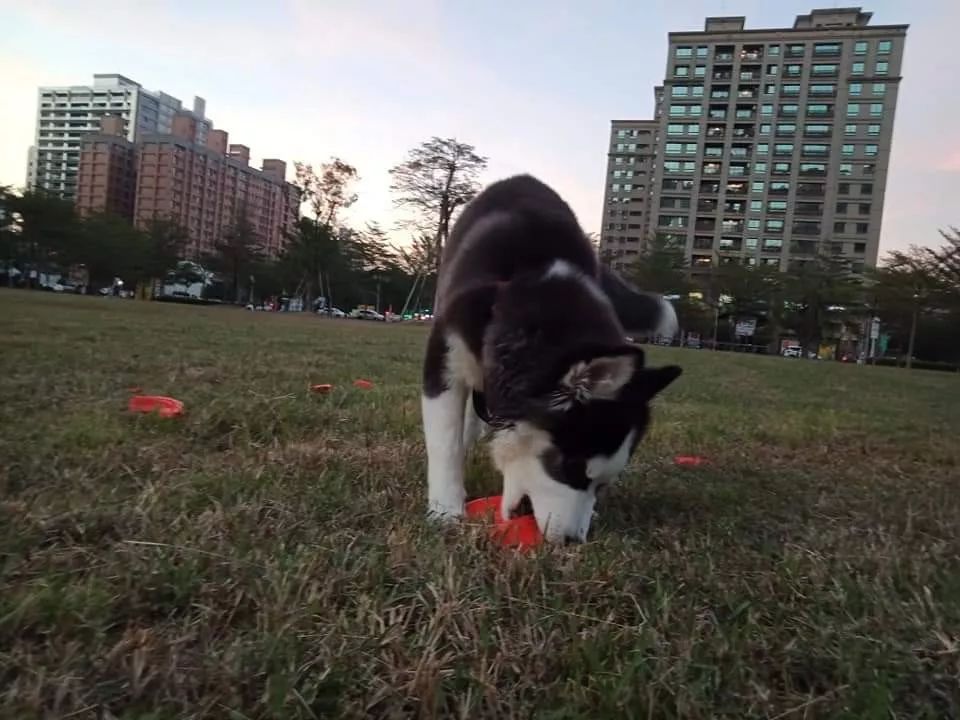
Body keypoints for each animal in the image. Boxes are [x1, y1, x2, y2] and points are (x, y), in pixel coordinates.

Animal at [422, 174, 684, 544]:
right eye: (570, 468)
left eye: (601, 485)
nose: (572, 542)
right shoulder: (445, 354)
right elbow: (445, 443)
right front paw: (445, 510)